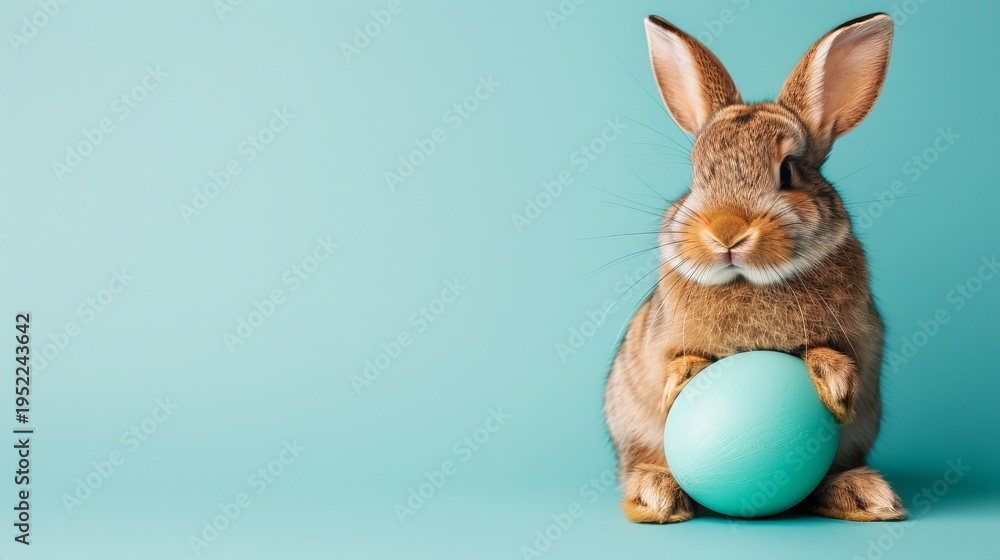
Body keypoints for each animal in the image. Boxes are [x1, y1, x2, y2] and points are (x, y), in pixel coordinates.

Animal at [604, 13, 905, 523]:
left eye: (788, 172)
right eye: (696, 176)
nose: (726, 232)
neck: (748, 282)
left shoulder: (862, 343)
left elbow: (837, 358)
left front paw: (833, 383)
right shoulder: (658, 346)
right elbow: (673, 364)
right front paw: (680, 382)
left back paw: (864, 495)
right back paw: (656, 495)